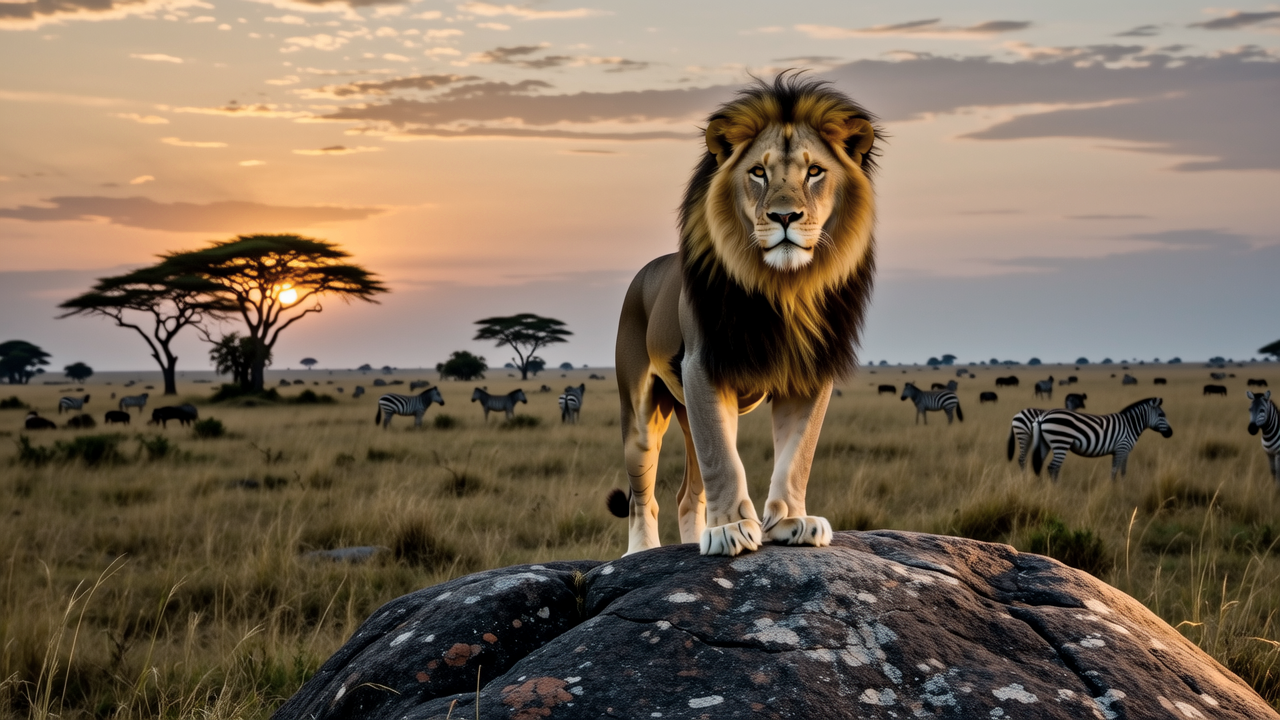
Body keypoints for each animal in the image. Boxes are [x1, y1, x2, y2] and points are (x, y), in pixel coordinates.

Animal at [608, 74, 881, 557]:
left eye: (815, 172)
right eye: (758, 172)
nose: (785, 216)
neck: (784, 288)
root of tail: (643, 273)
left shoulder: (809, 373)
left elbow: (797, 455)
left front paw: (792, 521)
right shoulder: (703, 365)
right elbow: (724, 458)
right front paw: (731, 529)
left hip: (686, 409)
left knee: (687, 495)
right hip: (642, 410)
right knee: (645, 496)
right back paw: (642, 551)